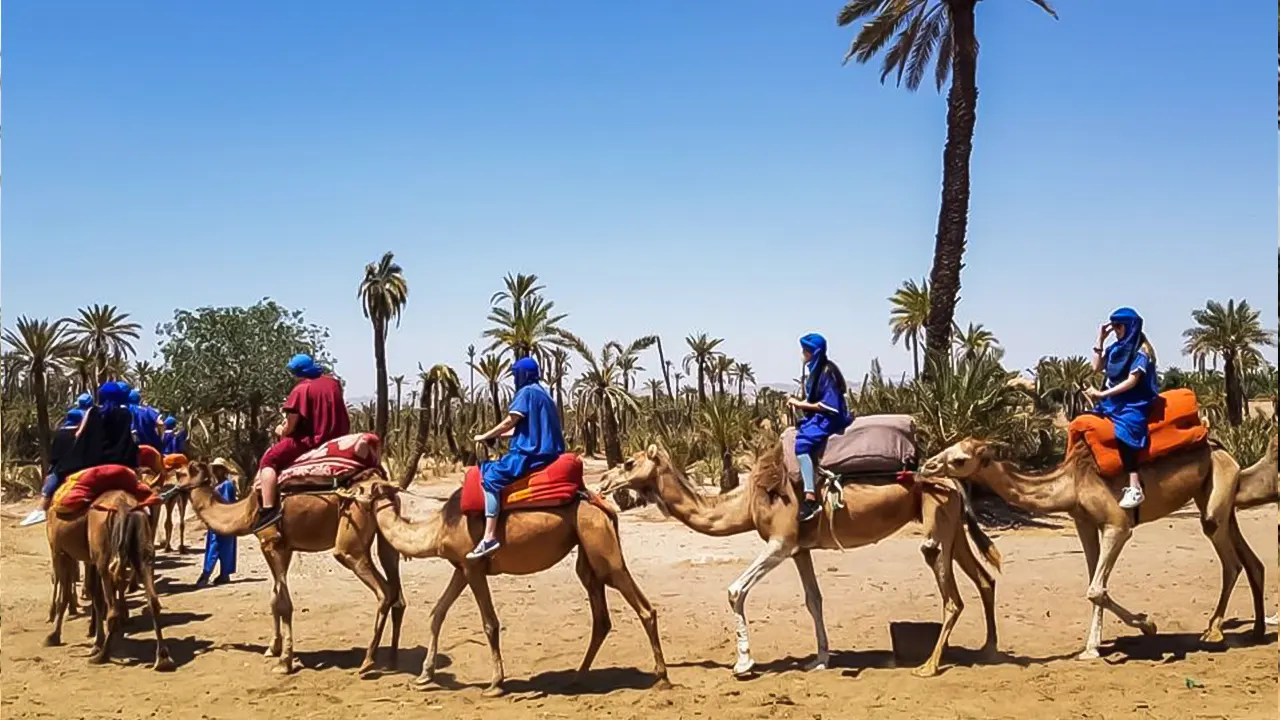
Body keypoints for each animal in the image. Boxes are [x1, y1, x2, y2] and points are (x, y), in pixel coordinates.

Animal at [45, 486, 172, 666]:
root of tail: (124, 507)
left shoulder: (60, 552)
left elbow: (65, 596)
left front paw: (54, 636)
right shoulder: (89, 559)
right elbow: (94, 597)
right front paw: (95, 640)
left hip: (103, 559)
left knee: (113, 612)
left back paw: (102, 656)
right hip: (142, 550)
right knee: (153, 601)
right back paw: (162, 658)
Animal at [168, 458, 399, 671]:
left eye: (179, 473)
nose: (166, 489)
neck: (247, 512)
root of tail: (382, 485)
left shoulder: (273, 544)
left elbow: (284, 604)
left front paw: (285, 661)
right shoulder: (283, 548)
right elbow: (274, 597)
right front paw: (273, 648)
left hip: (352, 541)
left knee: (384, 591)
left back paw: (368, 661)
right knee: (394, 590)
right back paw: (390, 658)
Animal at [355, 476, 665, 696]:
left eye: (360, 487)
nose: (346, 493)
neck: (439, 528)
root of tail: (603, 505)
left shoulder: (473, 567)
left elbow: (489, 623)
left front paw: (495, 684)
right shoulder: (461, 568)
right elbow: (437, 613)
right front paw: (424, 675)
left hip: (601, 546)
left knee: (643, 607)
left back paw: (662, 677)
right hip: (588, 553)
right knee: (601, 618)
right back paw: (577, 678)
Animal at [593, 440, 1003, 676]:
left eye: (628, 463)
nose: (604, 483)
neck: (746, 500)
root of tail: (952, 479)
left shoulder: (781, 541)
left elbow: (735, 591)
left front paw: (743, 663)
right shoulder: (800, 549)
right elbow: (813, 600)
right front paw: (820, 659)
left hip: (938, 524)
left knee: (952, 596)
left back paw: (929, 666)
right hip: (954, 527)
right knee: (985, 579)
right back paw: (988, 650)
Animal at [916, 435, 1264, 661]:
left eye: (960, 459)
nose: (926, 466)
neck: (1071, 482)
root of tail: (1225, 451)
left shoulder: (1117, 525)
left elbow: (1096, 588)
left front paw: (1147, 625)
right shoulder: (1084, 522)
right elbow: (1095, 583)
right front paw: (1092, 647)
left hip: (1216, 494)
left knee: (1231, 560)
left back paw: (1214, 632)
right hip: (1216, 498)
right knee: (1251, 561)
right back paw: (1257, 630)